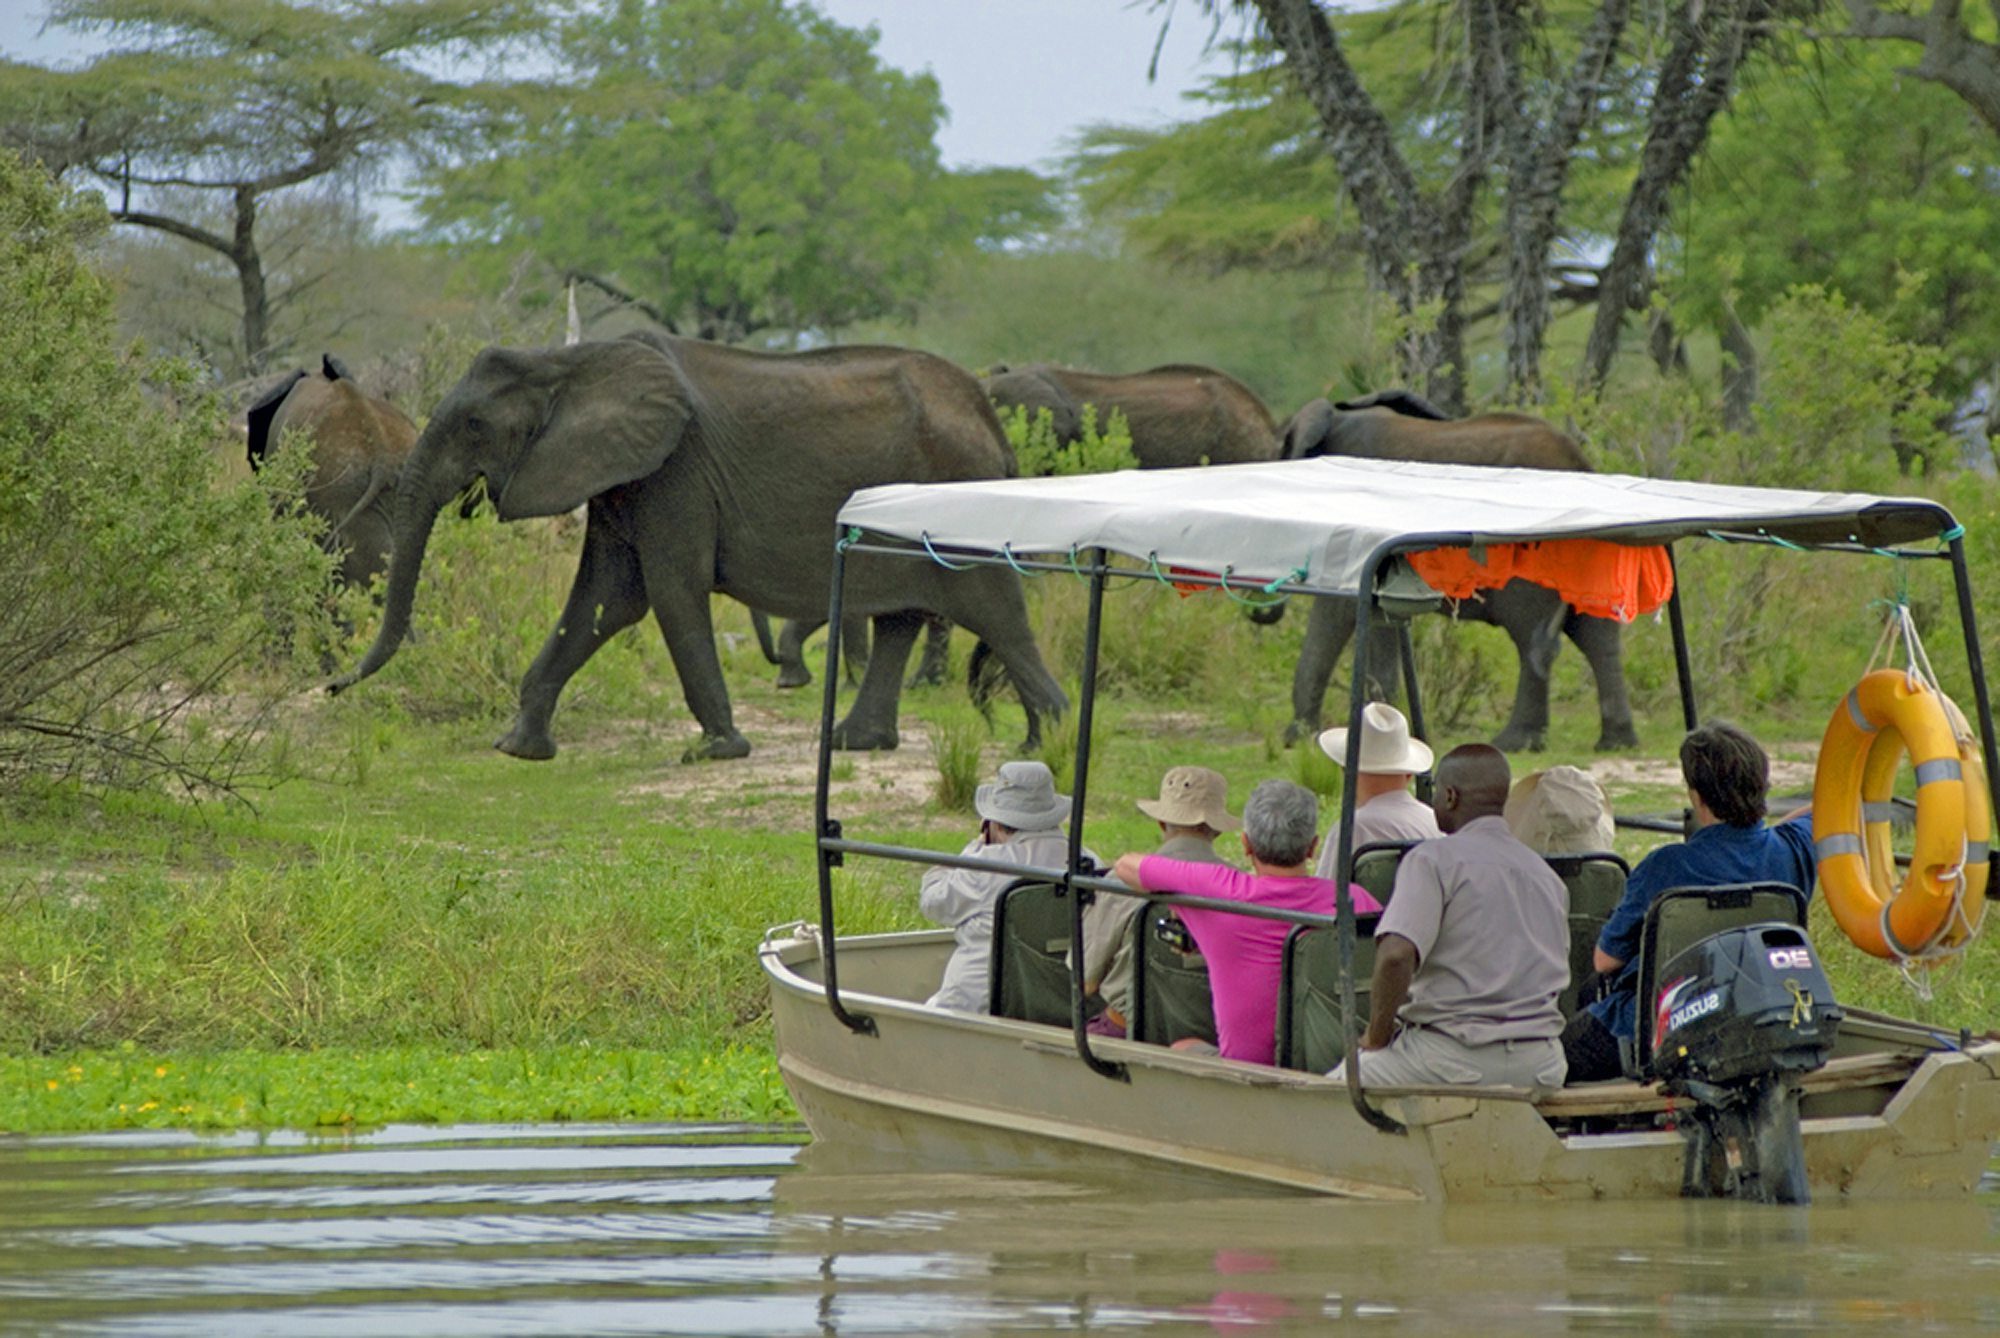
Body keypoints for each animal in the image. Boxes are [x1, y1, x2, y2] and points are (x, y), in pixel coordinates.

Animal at [334, 332, 1072, 760]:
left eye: (474, 424)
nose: (331, 684)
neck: (569, 360)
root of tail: (990, 421)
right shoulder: (625, 474)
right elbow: (606, 597)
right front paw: (519, 749)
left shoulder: (675, 469)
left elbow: (667, 591)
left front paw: (717, 751)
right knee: (905, 617)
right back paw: (858, 743)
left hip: (960, 492)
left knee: (993, 608)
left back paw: (1047, 743)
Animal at [1280, 392, 1640, 756]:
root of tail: (1580, 462)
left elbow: (1336, 612)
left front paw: (1299, 739)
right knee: (1598, 635)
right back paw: (1615, 743)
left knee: (1533, 637)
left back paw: (1513, 743)